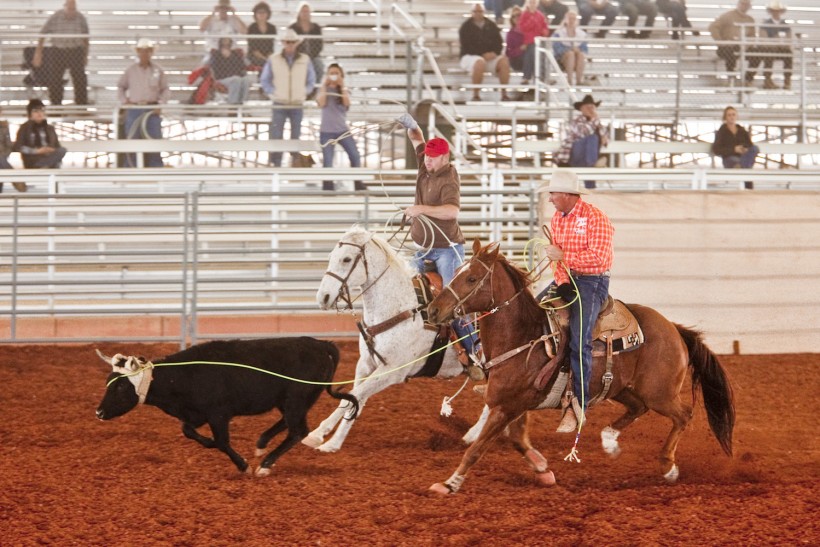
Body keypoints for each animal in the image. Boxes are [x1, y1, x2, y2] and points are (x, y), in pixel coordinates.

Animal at [306, 227, 486, 454]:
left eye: (346, 259)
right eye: (331, 257)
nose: (323, 297)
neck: (401, 308)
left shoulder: (392, 371)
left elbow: (354, 395)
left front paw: (317, 434)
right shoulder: (366, 364)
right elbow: (354, 399)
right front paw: (333, 443)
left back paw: (474, 435)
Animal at [426, 242, 732, 494]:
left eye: (472, 278)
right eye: (457, 272)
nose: (432, 310)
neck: (523, 336)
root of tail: (673, 328)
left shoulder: (507, 407)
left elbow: (477, 449)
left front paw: (449, 483)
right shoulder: (514, 405)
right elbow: (517, 440)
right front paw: (543, 469)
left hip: (660, 392)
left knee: (683, 415)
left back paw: (668, 467)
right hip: (621, 387)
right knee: (638, 407)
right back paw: (609, 440)